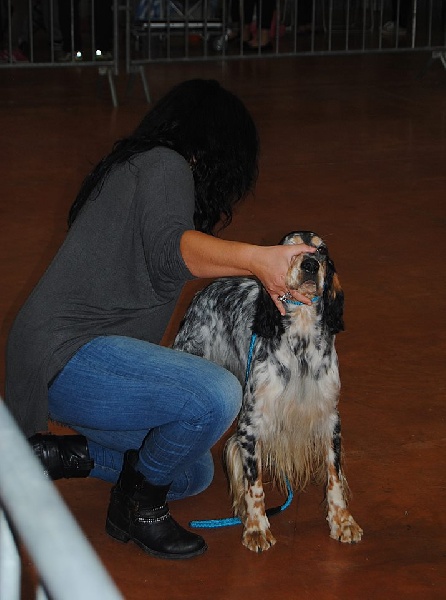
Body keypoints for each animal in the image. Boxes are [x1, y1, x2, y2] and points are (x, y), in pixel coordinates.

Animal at [172, 231, 364, 552]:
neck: (301, 342)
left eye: (322, 251)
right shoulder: (251, 423)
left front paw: (343, 521)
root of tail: (207, 288)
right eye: (291, 248)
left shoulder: (329, 417)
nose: (310, 265)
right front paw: (256, 528)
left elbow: (334, 475)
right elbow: (254, 485)